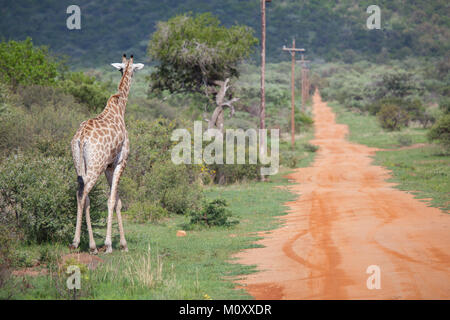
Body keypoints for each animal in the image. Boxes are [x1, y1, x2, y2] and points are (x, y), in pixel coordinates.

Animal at [70, 53, 144, 254]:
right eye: (133, 70)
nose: (132, 75)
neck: (120, 108)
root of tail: (81, 139)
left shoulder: (108, 166)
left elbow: (117, 201)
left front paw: (122, 244)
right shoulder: (120, 162)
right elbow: (111, 201)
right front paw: (111, 244)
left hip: (80, 166)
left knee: (81, 194)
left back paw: (91, 245)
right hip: (95, 166)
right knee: (83, 194)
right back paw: (80, 242)